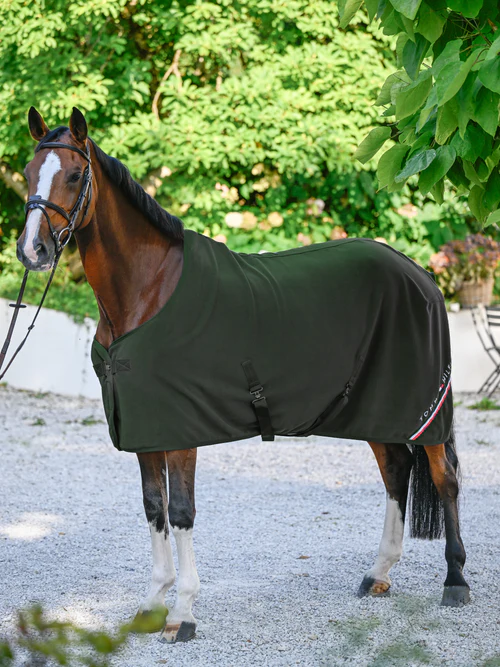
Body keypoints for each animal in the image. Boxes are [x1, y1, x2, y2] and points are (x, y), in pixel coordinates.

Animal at [15, 107, 470, 643]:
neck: (147, 291)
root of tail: (420, 274)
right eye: (28, 173)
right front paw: (151, 606)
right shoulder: (145, 429)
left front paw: (182, 615)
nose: (33, 250)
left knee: (444, 479)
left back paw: (456, 582)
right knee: (397, 471)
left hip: (423, 410)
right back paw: (378, 574)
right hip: (375, 410)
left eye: (74, 175)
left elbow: (181, 512)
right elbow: (153, 509)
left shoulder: (179, 431)